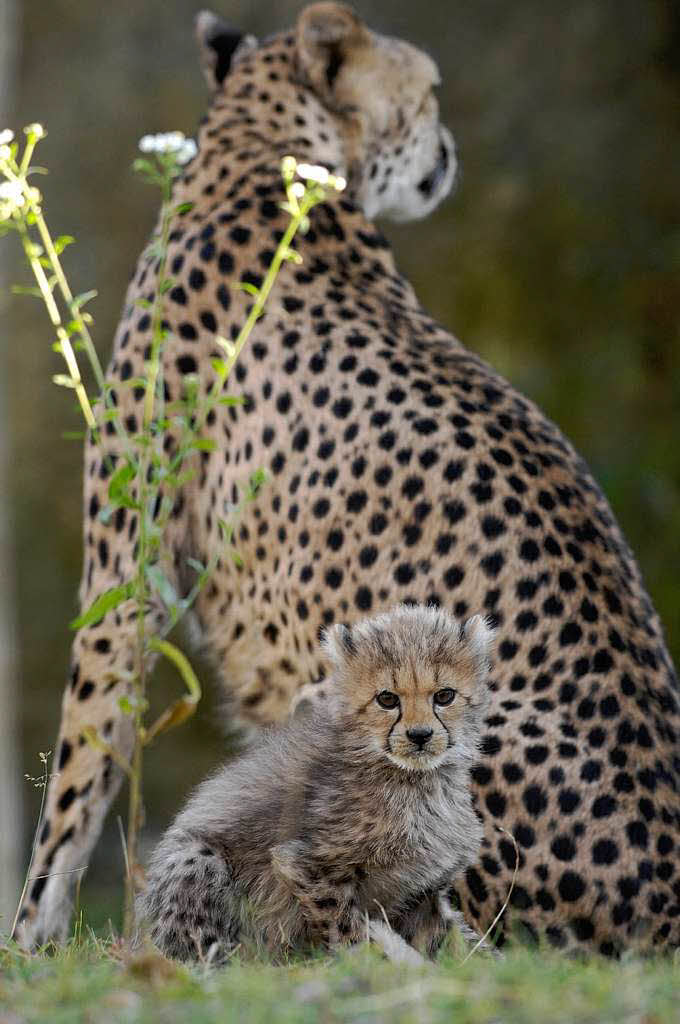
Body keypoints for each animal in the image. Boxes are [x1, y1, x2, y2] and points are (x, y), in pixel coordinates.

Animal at [13, 4, 675, 954]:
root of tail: (658, 905)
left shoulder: (127, 571)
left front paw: (28, 940)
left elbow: (77, 773)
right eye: (429, 92)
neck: (265, 154)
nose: (451, 149)